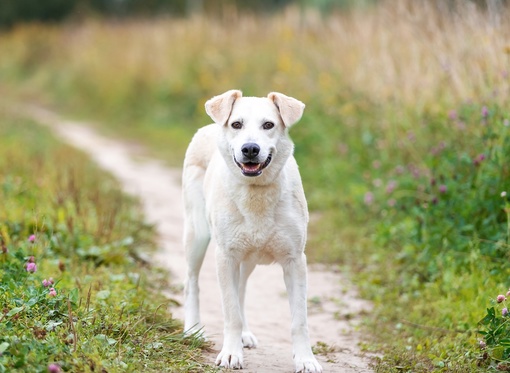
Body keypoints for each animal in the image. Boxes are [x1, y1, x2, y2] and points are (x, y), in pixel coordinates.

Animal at [181, 90, 320, 372]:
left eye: (268, 125)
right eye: (236, 124)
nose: (250, 149)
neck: (257, 192)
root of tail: (207, 127)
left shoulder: (295, 261)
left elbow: (299, 320)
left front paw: (305, 359)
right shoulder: (226, 257)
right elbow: (230, 312)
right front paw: (230, 354)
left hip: (248, 259)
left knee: (241, 290)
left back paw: (244, 334)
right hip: (197, 235)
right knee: (191, 282)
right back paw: (192, 330)